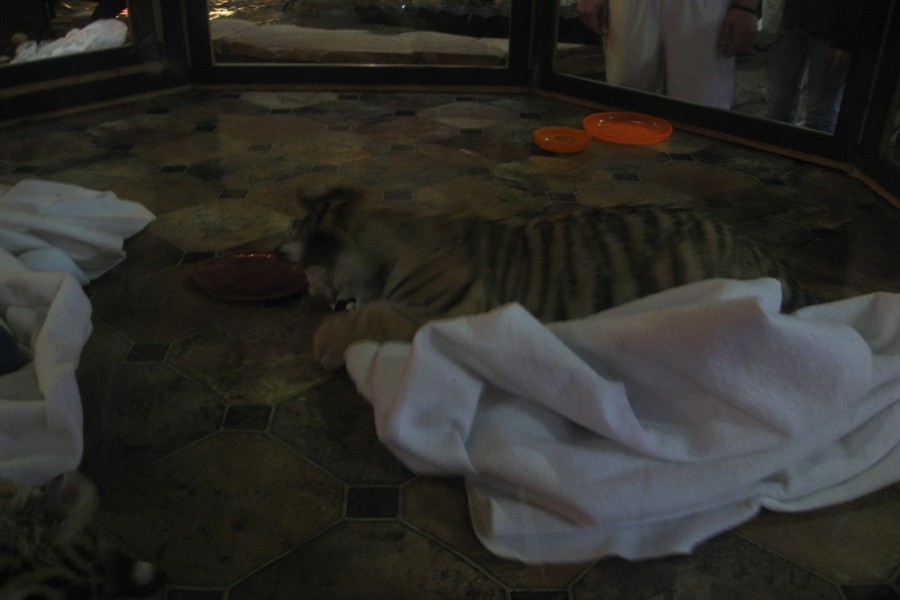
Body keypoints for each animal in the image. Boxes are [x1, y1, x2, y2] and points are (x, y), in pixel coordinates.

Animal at [279, 187, 812, 370]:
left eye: (299, 235)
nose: (278, 251)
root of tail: (761, 249)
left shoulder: (448, 310)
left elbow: (374, 316)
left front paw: (326, 341)